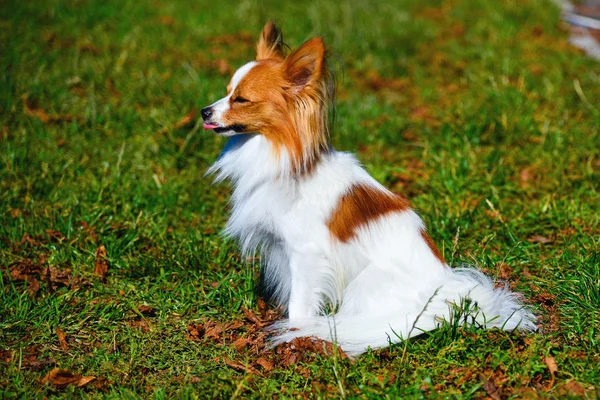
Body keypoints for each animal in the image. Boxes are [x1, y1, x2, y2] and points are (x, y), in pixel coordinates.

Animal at [202, 21, 536, 356]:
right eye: (226, 92)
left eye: (241, 99)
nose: (204, 111)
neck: (282, 159)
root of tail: (443, 300)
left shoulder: (306, 255)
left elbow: (300, 304)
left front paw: (296, 336)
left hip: (366, 283)